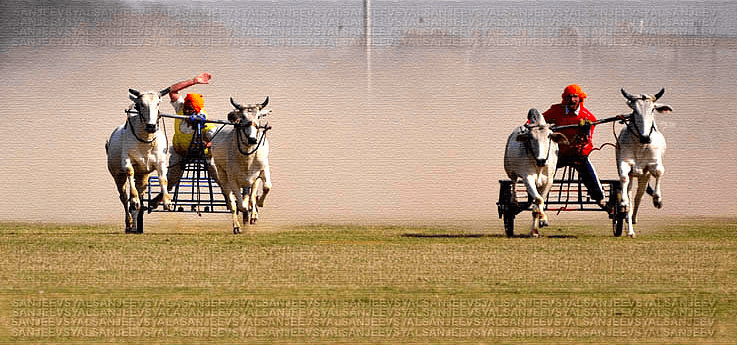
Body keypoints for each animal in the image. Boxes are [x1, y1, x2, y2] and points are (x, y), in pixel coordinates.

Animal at [105, 88, 173, 234]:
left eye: (158, 103)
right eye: (141, 104)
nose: (151, 126)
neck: (145, 141)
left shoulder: (160, 163)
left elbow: (163, 179)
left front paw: (167, 201)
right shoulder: (126, 162)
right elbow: (130, 177)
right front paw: (135, 199)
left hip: (142, 176)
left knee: (140, 194)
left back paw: (136, 225)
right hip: (117, 176)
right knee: (125, 198)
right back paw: (129, 224)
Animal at [210, 95, 274, 232]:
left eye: (259, 116)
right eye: (243, 117)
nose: (252, 139)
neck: (247, 157)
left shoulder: (263, 169)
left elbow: (266, 187)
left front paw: (259, 204)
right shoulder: (232, 179)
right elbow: (239, 205)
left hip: (253, 180)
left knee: (251, 194)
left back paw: (253, 213)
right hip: (222, 174)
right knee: (232, 201)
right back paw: (237, 226)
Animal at [504, 108, 568, 236]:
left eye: (549, 137)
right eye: (531, 137)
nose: (541, 160)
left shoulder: (548, 181)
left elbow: (538, 204)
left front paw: (537, 227)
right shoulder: (527, 178)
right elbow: (538, 199)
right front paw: (543, 219)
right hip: (509, 169)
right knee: (513, 182)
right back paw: (514, 200)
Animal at [616, 88, 672, 236]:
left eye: (652, 109)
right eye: (634, 110)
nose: (645, 137)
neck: (641, 145)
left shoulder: (653, 164)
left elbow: (659, 172)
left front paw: (657, 200)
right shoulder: (624, 164)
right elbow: (623, 178)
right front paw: (623, 203)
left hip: (644, 176)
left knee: (638, 196)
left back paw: (634, 219)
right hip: (634, 176)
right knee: (632, 195)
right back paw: (630, 229)